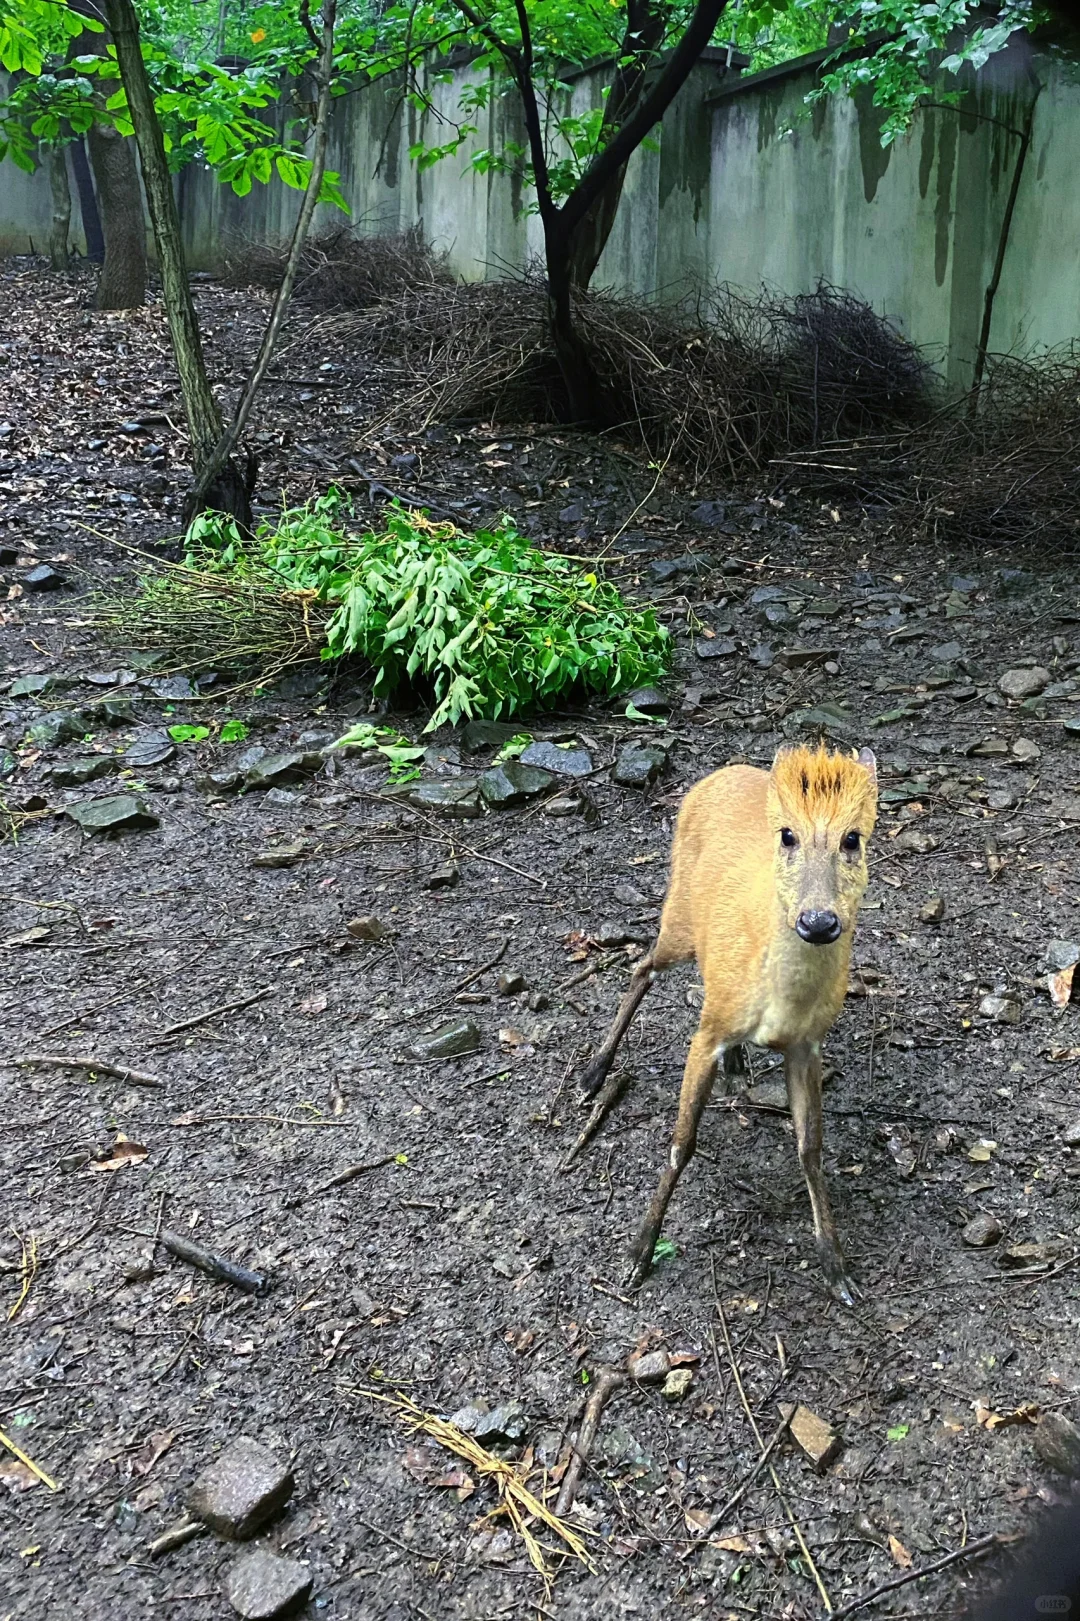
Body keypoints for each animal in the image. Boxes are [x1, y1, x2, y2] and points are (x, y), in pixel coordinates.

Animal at [580, 742, 875, 1296]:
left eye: (853, 837)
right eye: (787, 834)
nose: (818, 921)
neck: (779, 1003)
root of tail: (717, 775)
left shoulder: (808, 1046)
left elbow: (811, 1148)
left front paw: (837, 1267)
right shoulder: (708, 1029)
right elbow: (681, 1143)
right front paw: (637, 1254)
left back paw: (737, 1070)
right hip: (678, 913)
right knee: (641, 965)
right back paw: (593, 1073)